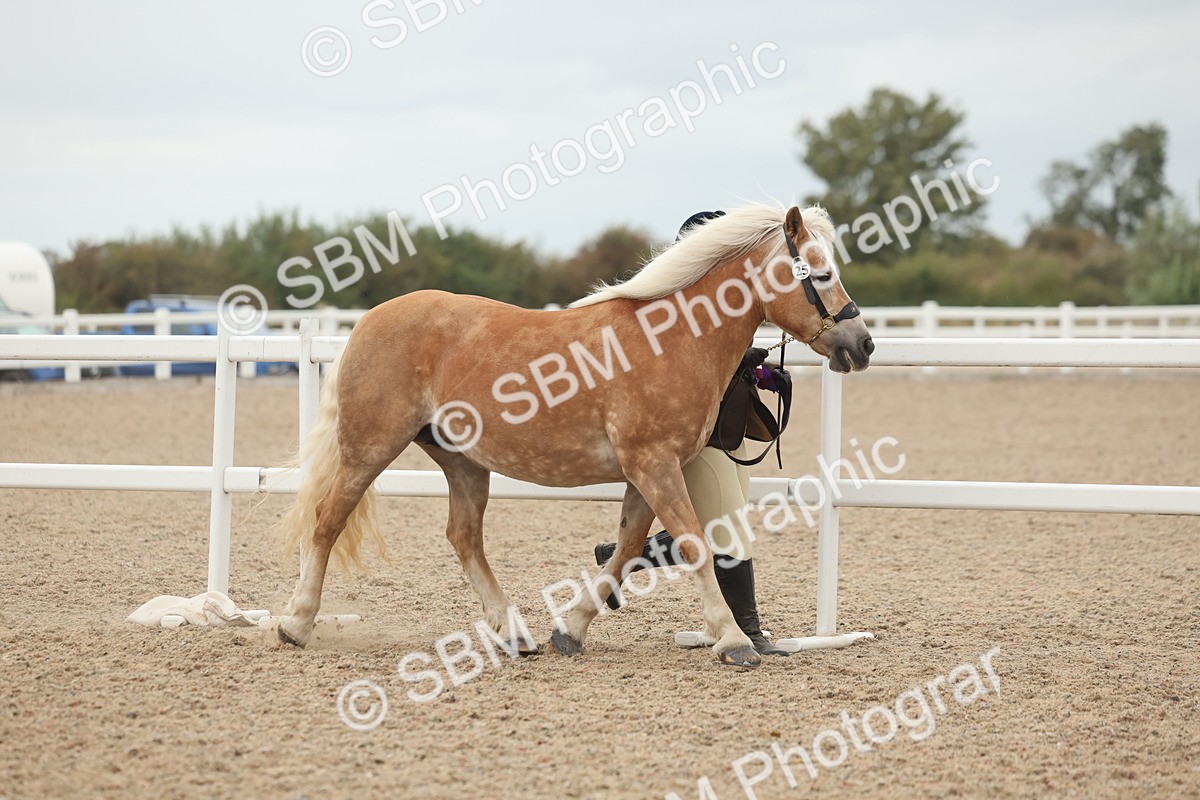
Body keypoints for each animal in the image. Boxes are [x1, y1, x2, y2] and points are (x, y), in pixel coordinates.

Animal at [276, 203, 873, 668]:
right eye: (820, 273)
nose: (862, 344)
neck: (673, 338)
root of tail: (367, 322)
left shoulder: (647, 472)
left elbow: (628, 548)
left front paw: (572, 628)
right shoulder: (654, 464)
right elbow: (693, 544)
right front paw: (732, 640)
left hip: (463, 461)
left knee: (463, 537)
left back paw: (514, 634)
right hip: (370, 448)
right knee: (327, 521)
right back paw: (296, 623)